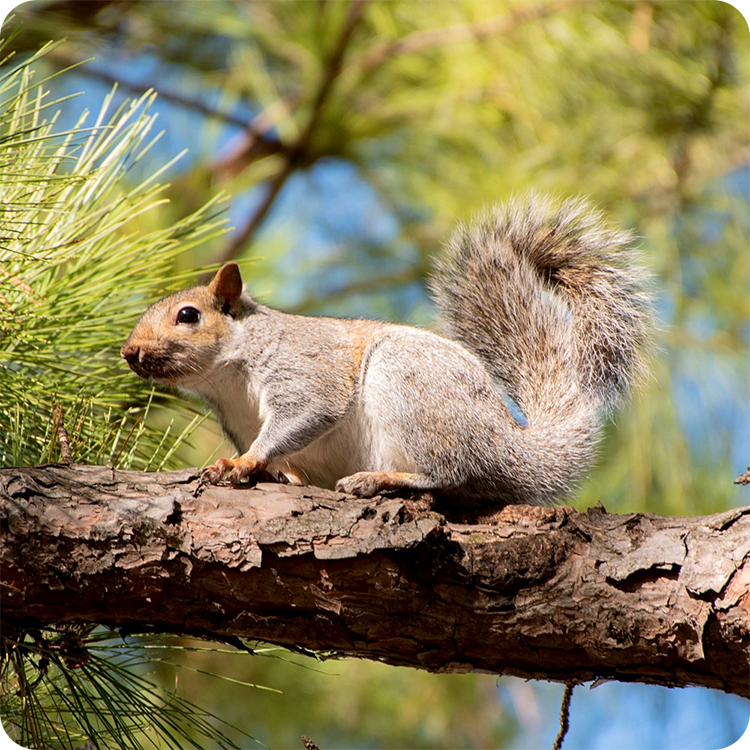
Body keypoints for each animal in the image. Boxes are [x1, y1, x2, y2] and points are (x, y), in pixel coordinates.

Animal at [121, 195, 652, 508]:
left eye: (188, 315)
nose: (129, 352)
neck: (227, 375)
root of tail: (508, 446)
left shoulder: (304, 370)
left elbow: (306, 413)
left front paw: (244, 463)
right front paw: (271, 473)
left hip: (407, 386)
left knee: (450, 474)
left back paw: (381, 480)